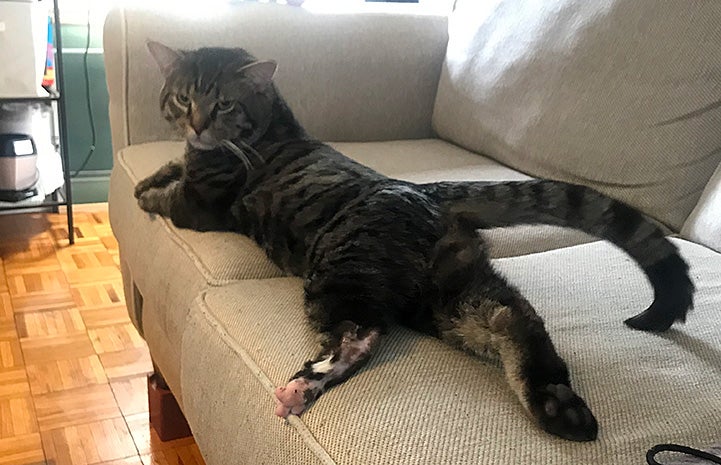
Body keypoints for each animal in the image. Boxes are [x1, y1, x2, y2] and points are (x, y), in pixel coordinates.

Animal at [134, 41, 692, 440]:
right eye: (183, 98)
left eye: (224, 104)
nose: (197, 125)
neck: (267, 127)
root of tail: (427, 192)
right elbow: (172, 165)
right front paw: (156, 171)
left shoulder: (200, 201)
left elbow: (170, 195)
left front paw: (144, 192)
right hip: (448, 292)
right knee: (511, 316)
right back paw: (558, 405)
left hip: (342, 268)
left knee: (362, 333)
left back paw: (301, 386)